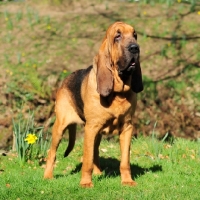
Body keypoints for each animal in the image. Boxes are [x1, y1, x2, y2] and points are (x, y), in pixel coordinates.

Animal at [44, 21, 143, 188]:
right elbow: (87, 160)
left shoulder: (127, 128)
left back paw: (98, 173)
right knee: (52, 153)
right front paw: (85, 183)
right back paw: (47, 176)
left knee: (95, 152)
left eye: (135, 35)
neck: (118, 94)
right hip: (60, 127)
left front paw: (127, 181)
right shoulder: (90, 129)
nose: (135, 48)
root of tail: (65, 79)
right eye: (117, 36)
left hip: (97, 133)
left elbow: (125, 161)